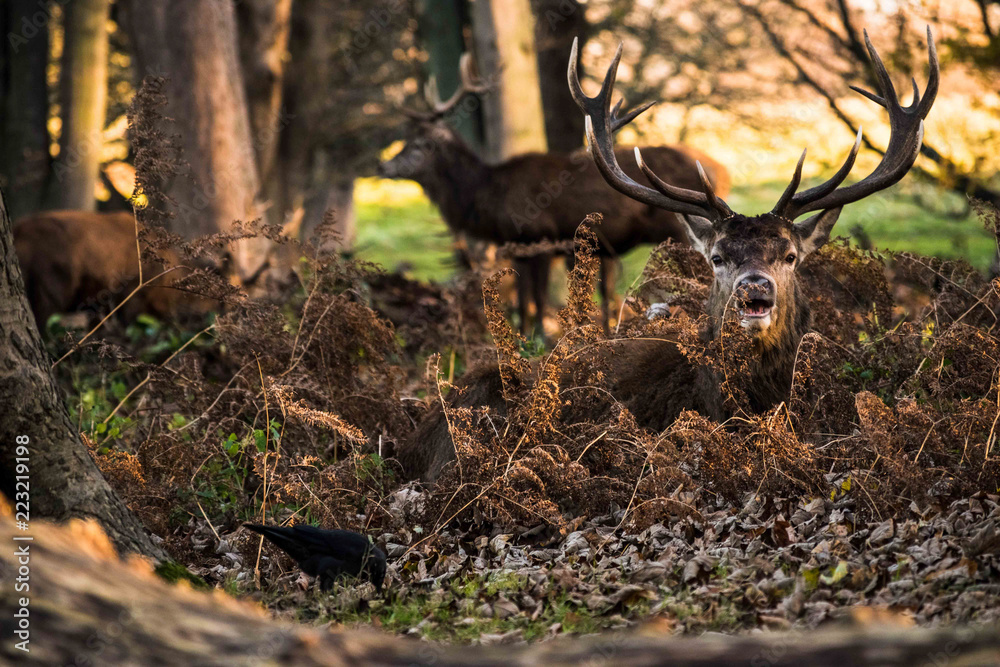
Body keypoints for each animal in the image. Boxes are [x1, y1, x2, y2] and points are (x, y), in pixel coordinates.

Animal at [378, 52, 732, 336]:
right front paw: (525, 338)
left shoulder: (541, 238)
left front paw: (538, 339)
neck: (486, 198)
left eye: (419, 144)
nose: (383, 165)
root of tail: (721, 170)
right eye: (406, 139)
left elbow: (534, 299)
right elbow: (524, 300)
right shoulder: (520, 247)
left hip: (679, 230)